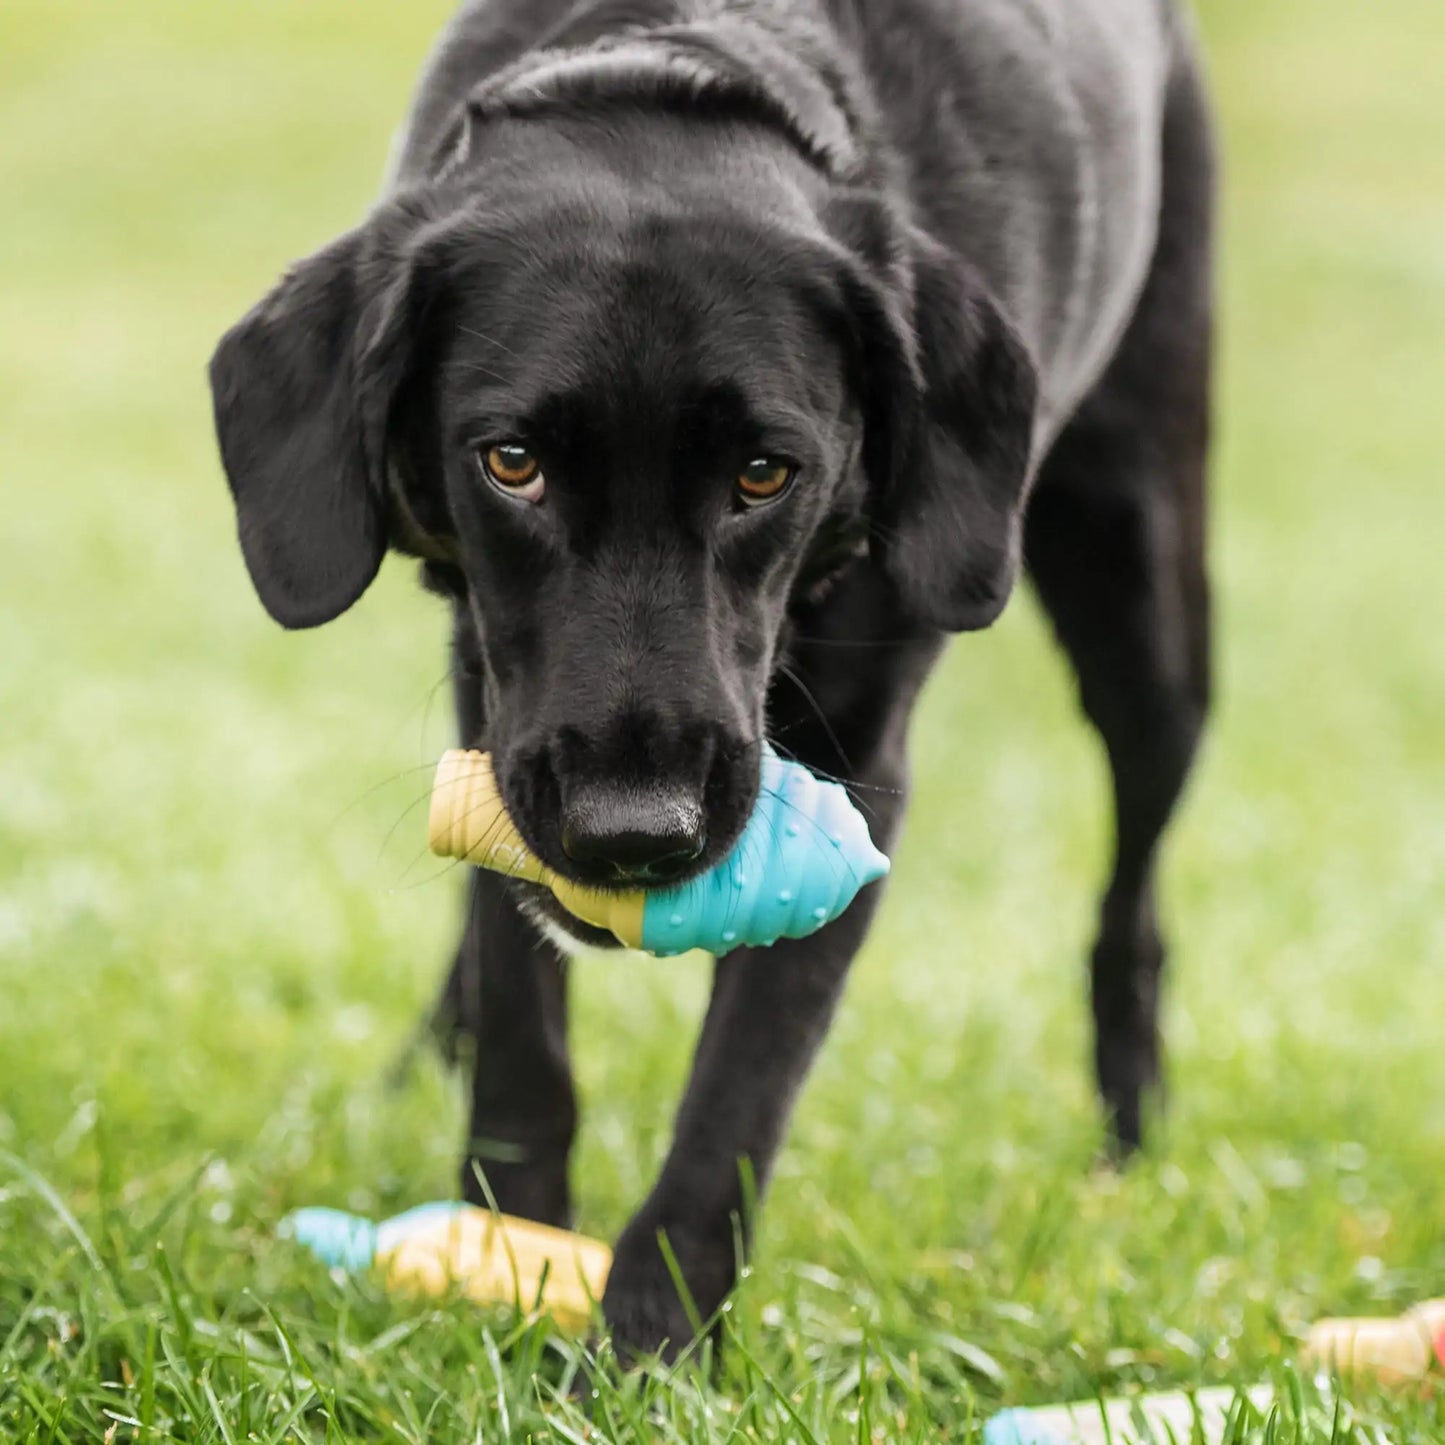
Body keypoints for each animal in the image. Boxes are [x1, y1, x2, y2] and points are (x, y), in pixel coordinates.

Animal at [209, 0, 1213, 1352]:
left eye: (763, 472)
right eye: (511, 461)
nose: (635, 829)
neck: (677, 62)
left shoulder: (858, 769)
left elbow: (735, 1095)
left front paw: (642, 1343)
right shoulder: (492, 691)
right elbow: (522, 1017)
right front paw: (508, 1250)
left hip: (1142, 599)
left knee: (1133, 898)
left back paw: (1126, 1142)